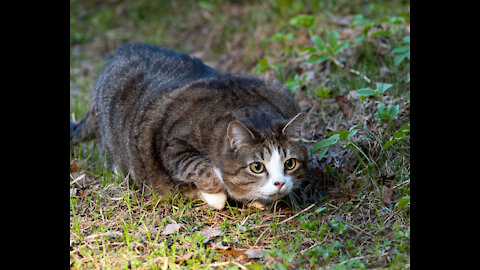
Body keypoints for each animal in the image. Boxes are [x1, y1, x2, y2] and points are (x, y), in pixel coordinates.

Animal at [71, 42, 308, 211]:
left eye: (290, 164)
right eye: (257, 167)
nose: (279, 183)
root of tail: (119, 53)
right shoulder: (170, 143)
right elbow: (203, 171)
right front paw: (217, 196)